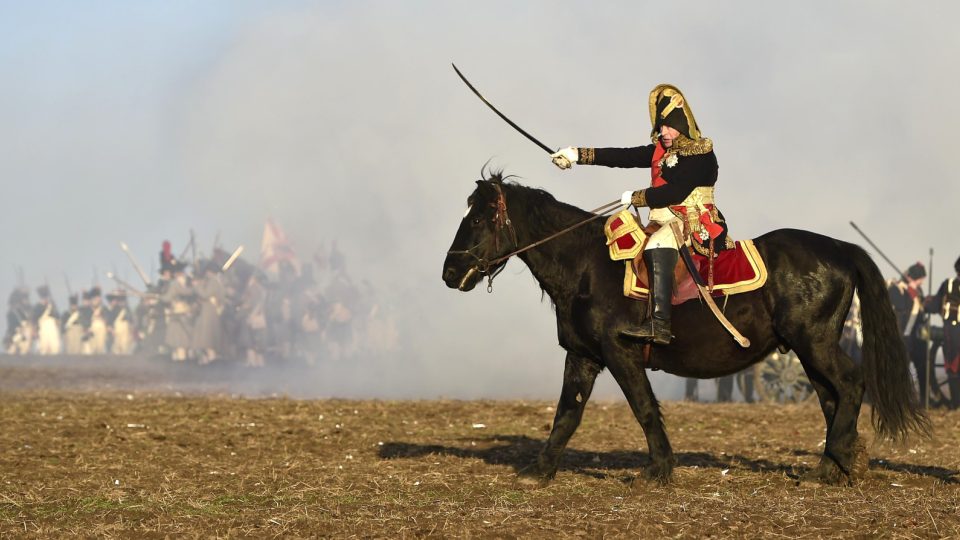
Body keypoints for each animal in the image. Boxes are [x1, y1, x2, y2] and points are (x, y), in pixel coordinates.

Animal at [444, 172, 928, 486]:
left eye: (480, 219)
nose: (449, 273)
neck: (586, 266)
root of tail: (842, 249)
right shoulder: (582, 356)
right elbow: (567, 413)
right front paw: (540, 471)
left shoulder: (619, 353)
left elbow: (643, 407)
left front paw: (658, 470)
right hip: (808, 349)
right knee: (832, 396)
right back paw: (829, 469)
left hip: (815, 344)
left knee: (850, 384)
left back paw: (842, 458)